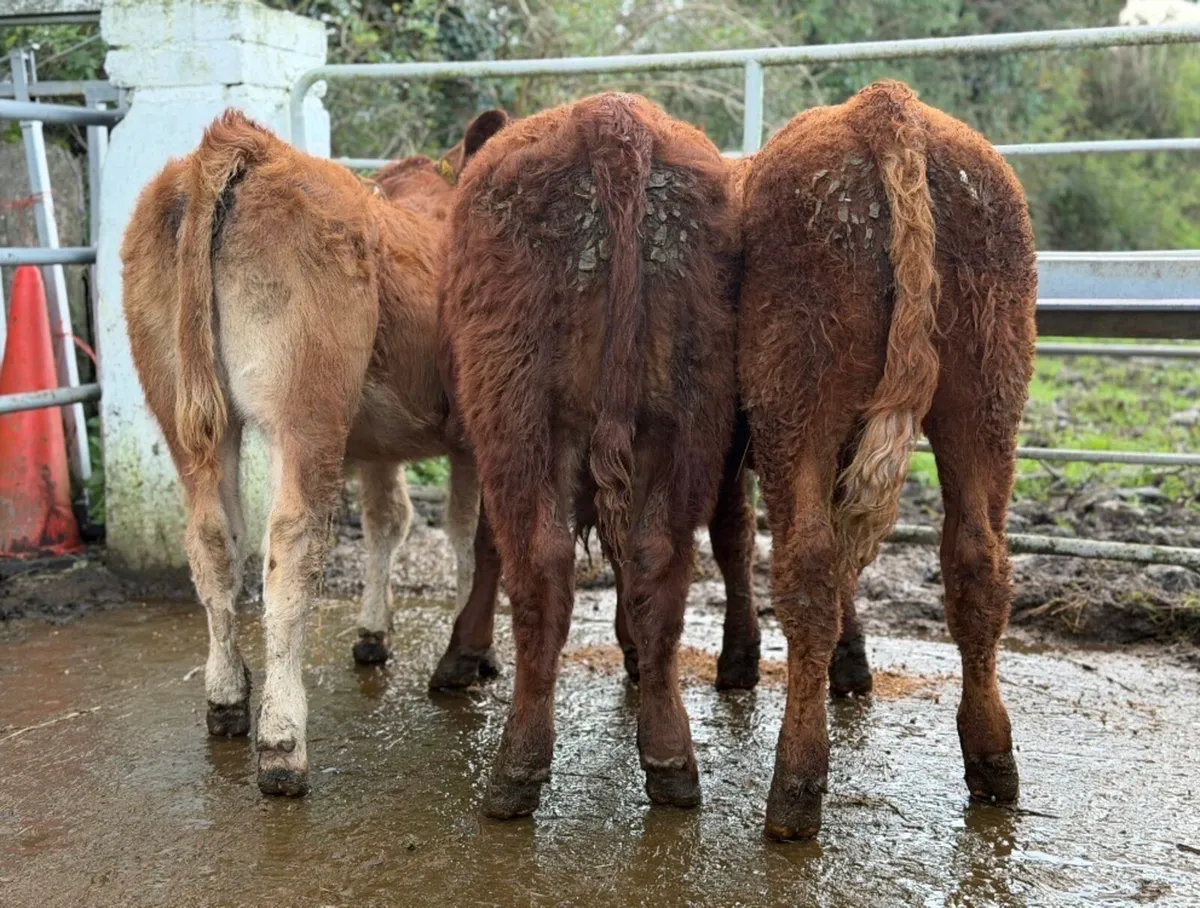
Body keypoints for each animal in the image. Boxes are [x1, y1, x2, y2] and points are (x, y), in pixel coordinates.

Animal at [120, 107, 508, 796]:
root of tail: (244, 146)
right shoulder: (467, 438)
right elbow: (467, 537)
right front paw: (474, 651)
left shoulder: (377, 446)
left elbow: (388, 522)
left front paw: (374, 634)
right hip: (307, 409)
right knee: (291, 548)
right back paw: (282, 742)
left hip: (182, 409)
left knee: (213, 539)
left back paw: (227, 697)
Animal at [439, 91, 748, 819]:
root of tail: (613, 117)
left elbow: (487, 546)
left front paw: (463, 653)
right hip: (683, 427)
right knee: (660, 562)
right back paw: (670, 758)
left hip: (518, 421)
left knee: (539, 568)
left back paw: (517, 767)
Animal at [738, 80, 1037, 839]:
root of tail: (882, 105)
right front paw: (852, 666)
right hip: (986, 396)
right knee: (977, 562)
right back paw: (993, 762)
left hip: (795, 401)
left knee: (807, 564)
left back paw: (795, 787)